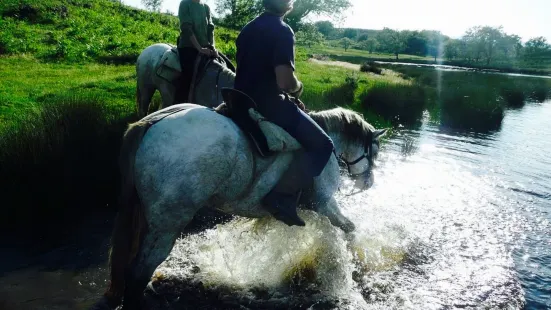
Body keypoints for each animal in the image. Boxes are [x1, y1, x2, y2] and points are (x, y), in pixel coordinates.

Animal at [91, 103, 388, 308]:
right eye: (374, 151)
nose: (368, 183)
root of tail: (152, 122)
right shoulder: (325, 204)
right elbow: (349, 228)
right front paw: (356, 263)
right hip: (167, 224)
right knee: (139, 271)